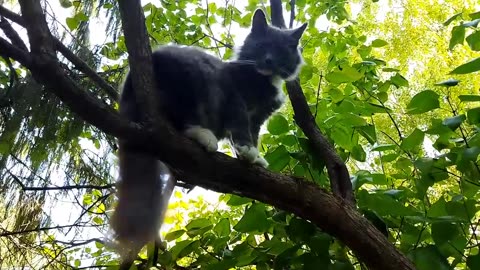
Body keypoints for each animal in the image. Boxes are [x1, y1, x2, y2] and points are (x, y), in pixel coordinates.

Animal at [110, 8, 308, 260]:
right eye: (262, 45)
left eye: (281, 50)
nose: (269, 60)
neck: (262, 78)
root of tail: (128, 85)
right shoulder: (235, 97)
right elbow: (240, 125)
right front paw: (246, 151)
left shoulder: (258, 118)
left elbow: (253, 135)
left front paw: (255, 158)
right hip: (191, 80)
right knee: (183, 120)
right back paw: (205, 137)